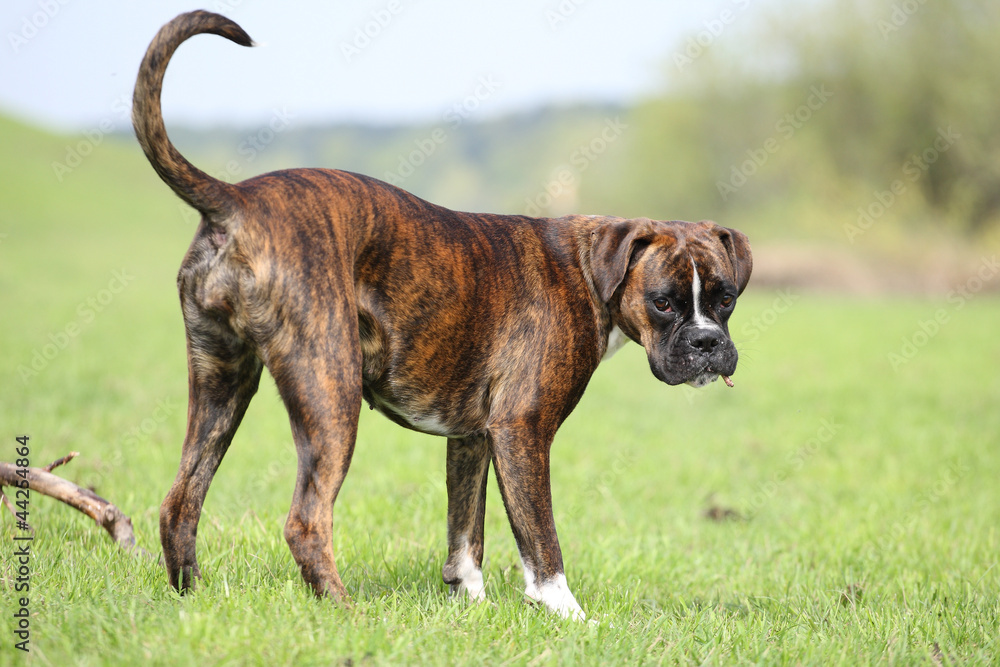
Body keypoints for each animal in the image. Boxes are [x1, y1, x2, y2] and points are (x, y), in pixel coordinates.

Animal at [135, 9, 752, 620]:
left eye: (725, 298)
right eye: (663, 302)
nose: (706, 343)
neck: (585, 269)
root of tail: (234, 198)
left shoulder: (472, 436)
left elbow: (465, 534)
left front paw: (468, 607)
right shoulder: (521, 430)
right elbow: (540, 542)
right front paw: (569, 616)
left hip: (221, 386)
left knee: (180, 501)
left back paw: (191, 599)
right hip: (329, 397)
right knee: (306, 521)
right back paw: (345, 613)